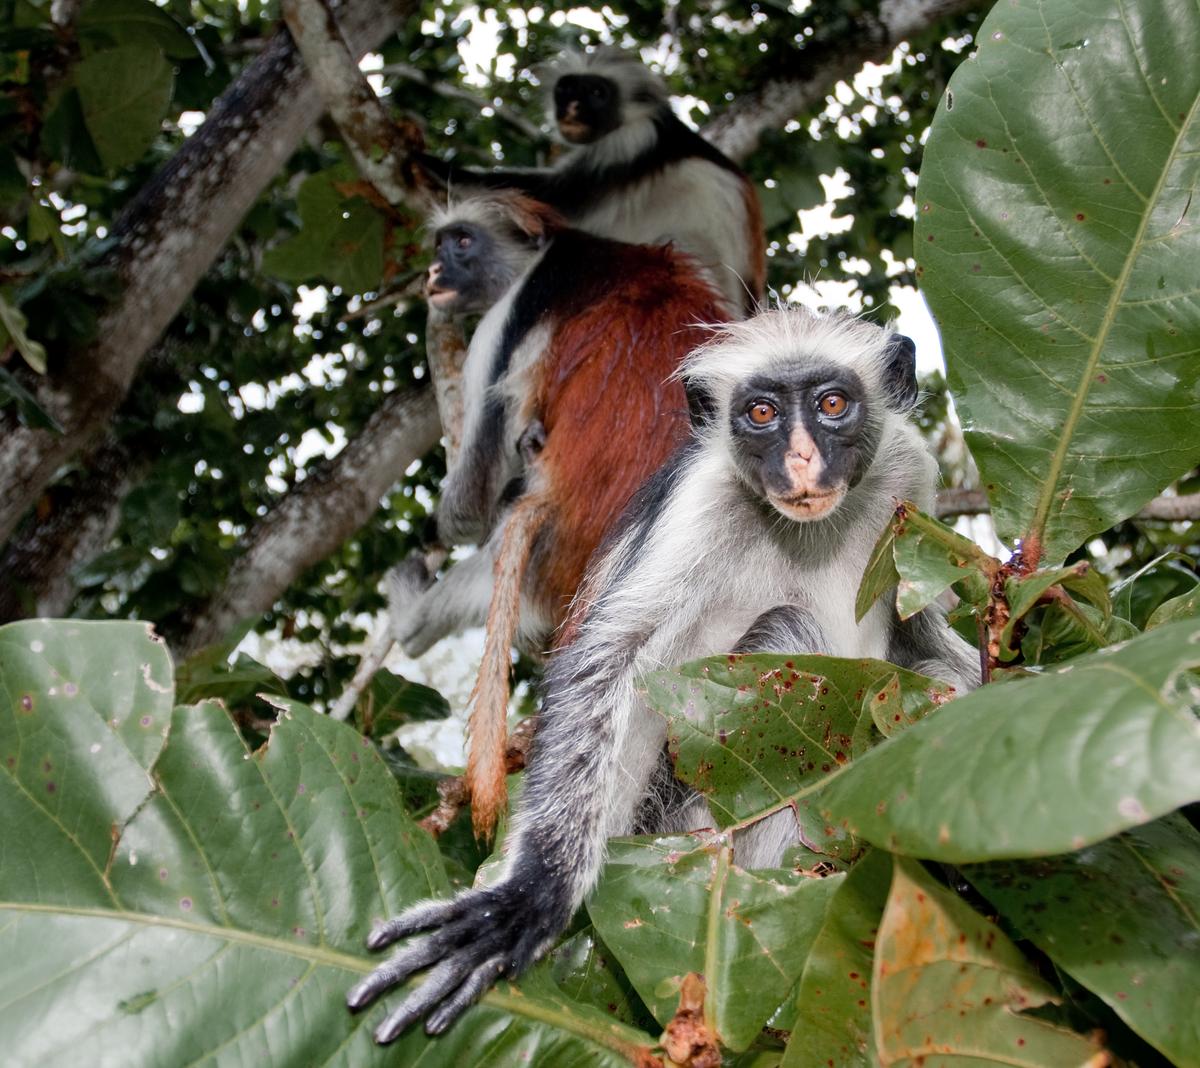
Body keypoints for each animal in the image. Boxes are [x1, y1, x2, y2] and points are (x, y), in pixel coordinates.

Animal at [347, 307, 980, 1041]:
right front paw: (532, 892)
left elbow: (921, 630)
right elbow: (607, 655)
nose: (799, 459)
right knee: (788, 633)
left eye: (832, 405)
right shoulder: (705, 498)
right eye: (760, 413)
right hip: (676, 814)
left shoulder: (905, 471)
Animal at [392, 190, 730, 833]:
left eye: (462, 242)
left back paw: (413, 614)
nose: (436, 270)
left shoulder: (507, 317)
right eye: (439, 245)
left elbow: (473, 500)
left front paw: (439, 525)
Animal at [419, 49, 765, 318]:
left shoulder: (628, 144)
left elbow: (552, 199)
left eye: (598, 93)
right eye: (567, 90)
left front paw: (429, 163)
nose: (573, 109)